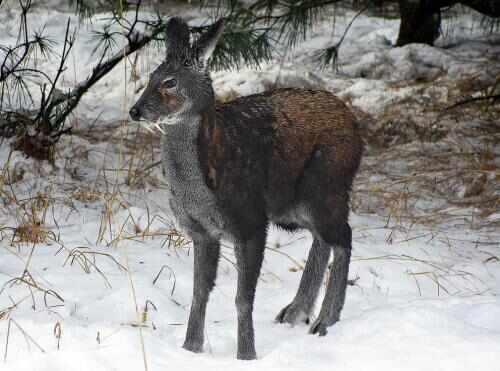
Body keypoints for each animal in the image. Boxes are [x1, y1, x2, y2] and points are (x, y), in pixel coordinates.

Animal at [129, 16, 364, 360]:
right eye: (151, 77)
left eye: (170, 82)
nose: (135, 110)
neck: (200, 188)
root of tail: (355, 124)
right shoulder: (202, 231)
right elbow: (199, 292)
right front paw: (190, 348)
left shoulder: (250, 222)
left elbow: (243, 298)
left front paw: (246, 355)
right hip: (292, 206)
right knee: (323, 239)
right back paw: (295, 312)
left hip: (325, 187)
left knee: (343, 236)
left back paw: (324, 321)